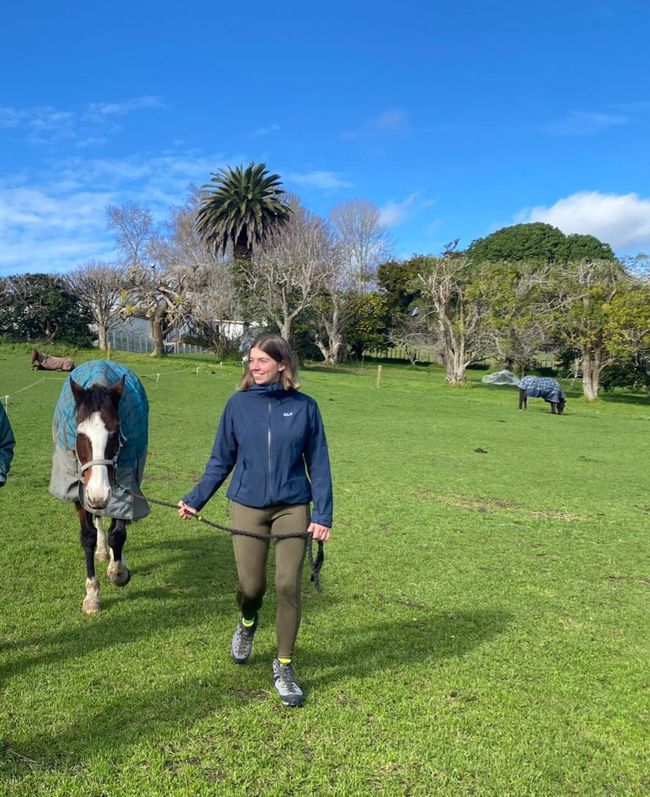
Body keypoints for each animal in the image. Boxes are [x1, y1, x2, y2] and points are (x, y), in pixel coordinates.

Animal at [48, 364, 149, 612]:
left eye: (115, 432)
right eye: (80, 434)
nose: (98, 495)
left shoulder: (125, 480)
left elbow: (118, 533)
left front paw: (118, 572)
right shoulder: (79, 488)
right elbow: (87, 536)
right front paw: (92, 594)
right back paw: (103, 550)